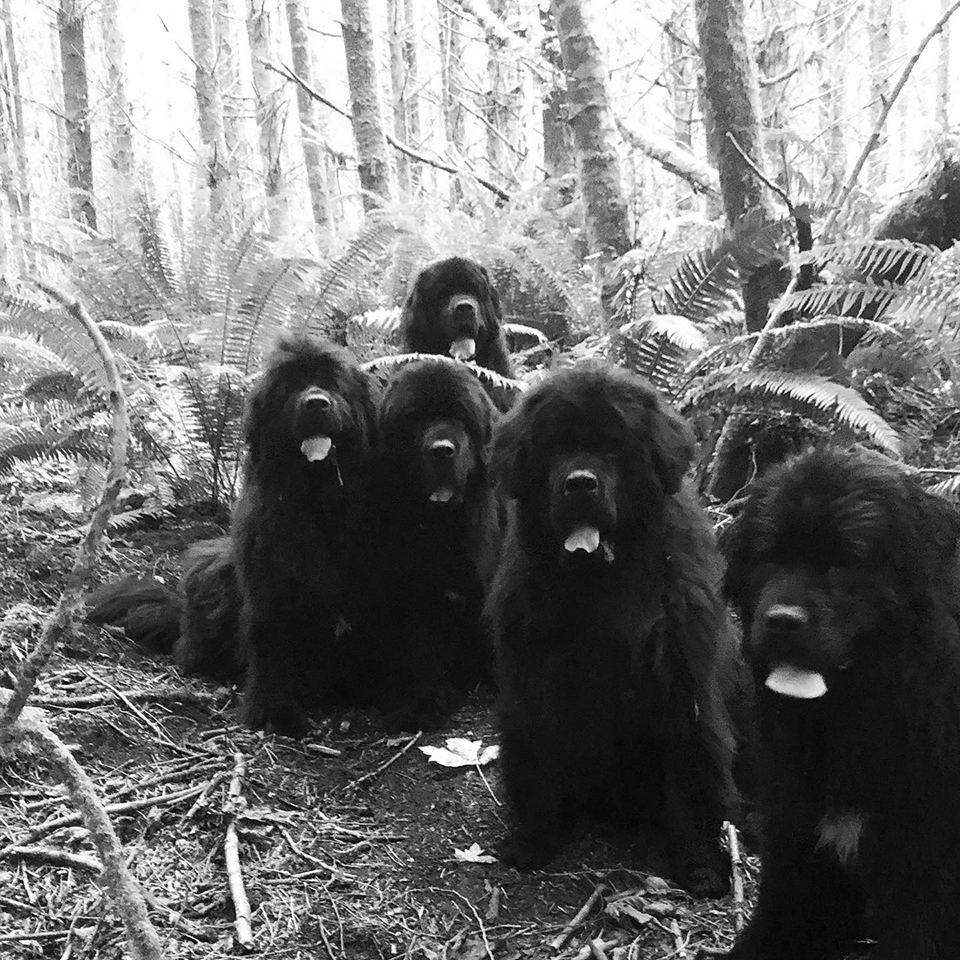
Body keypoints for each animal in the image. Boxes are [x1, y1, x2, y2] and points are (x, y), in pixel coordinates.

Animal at [232, 332, 378, 736]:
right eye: (292, 385)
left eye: (333, 383)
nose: (316, 402)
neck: (316, 498)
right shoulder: (270, 583)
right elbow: (271, 643)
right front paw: (276, 712)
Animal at [368, 358, 498, 728]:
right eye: (415, 419)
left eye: (461, 419)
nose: (442, 451)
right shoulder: (414, 591)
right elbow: (419, 647)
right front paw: (422, 703)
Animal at [488, 364, 736, 896]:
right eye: (555, 446)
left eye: (614, 446)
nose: (580, 484)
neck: (600, 589)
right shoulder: (536, 686)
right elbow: (539, 757)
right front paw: (534, 839)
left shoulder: (679, 687)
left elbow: (689, 771)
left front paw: (700, 862)